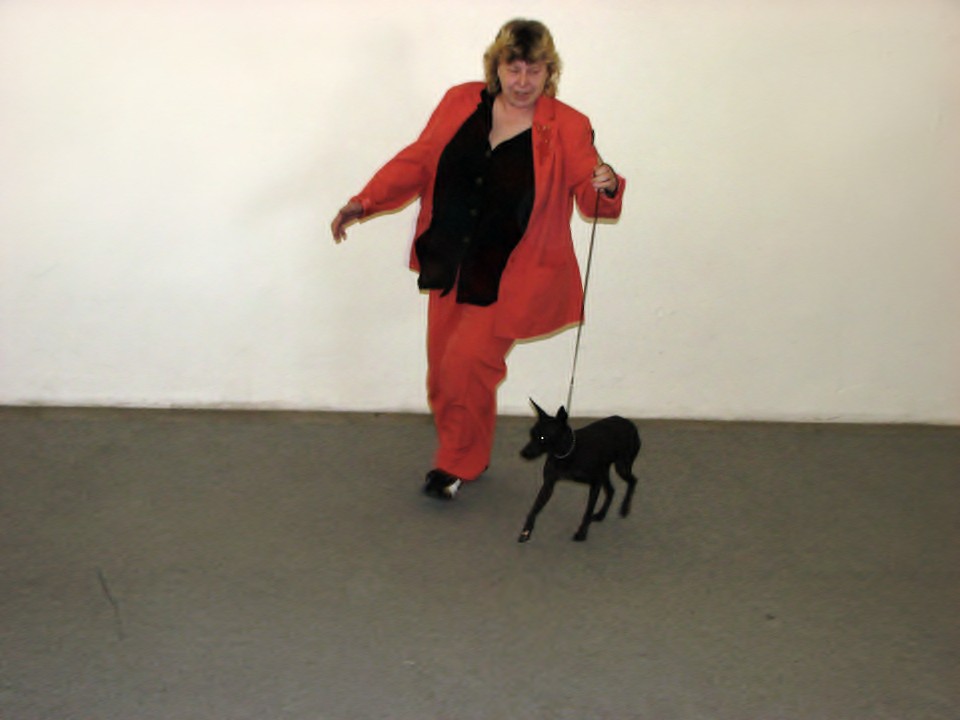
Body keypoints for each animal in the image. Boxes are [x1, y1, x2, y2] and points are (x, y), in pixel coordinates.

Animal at [518, 400, 641, 543]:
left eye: (543, 437)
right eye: (531, 433)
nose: (523, 453)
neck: (567, 453)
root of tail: (629, 423)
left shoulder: (595, 484)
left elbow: (587, 511)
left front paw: (582, 533)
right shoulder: (548, 485)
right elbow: (534, 509)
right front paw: (526, 531)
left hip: (621, 467)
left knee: (633, 481)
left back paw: (624, 508)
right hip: (605, 471)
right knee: (611, 490)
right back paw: (601, 515)